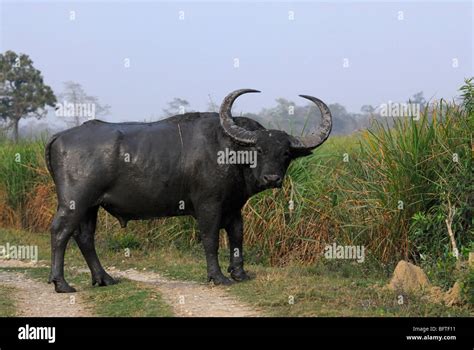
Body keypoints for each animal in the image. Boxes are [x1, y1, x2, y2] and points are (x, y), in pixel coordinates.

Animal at [46, 89, 332, 292]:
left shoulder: (233, 206)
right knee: (60, 232)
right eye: (258, 150)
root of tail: (61, 136)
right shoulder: (208, 205)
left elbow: (237, 235)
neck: (230, 152)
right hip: (75, 202)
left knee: (85, 237)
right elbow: (211, 239)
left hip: (91, 206)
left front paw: (239, 273)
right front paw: (218, 276)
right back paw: (61, 283)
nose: (272, 178)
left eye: (285, 153)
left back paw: (103, 278)